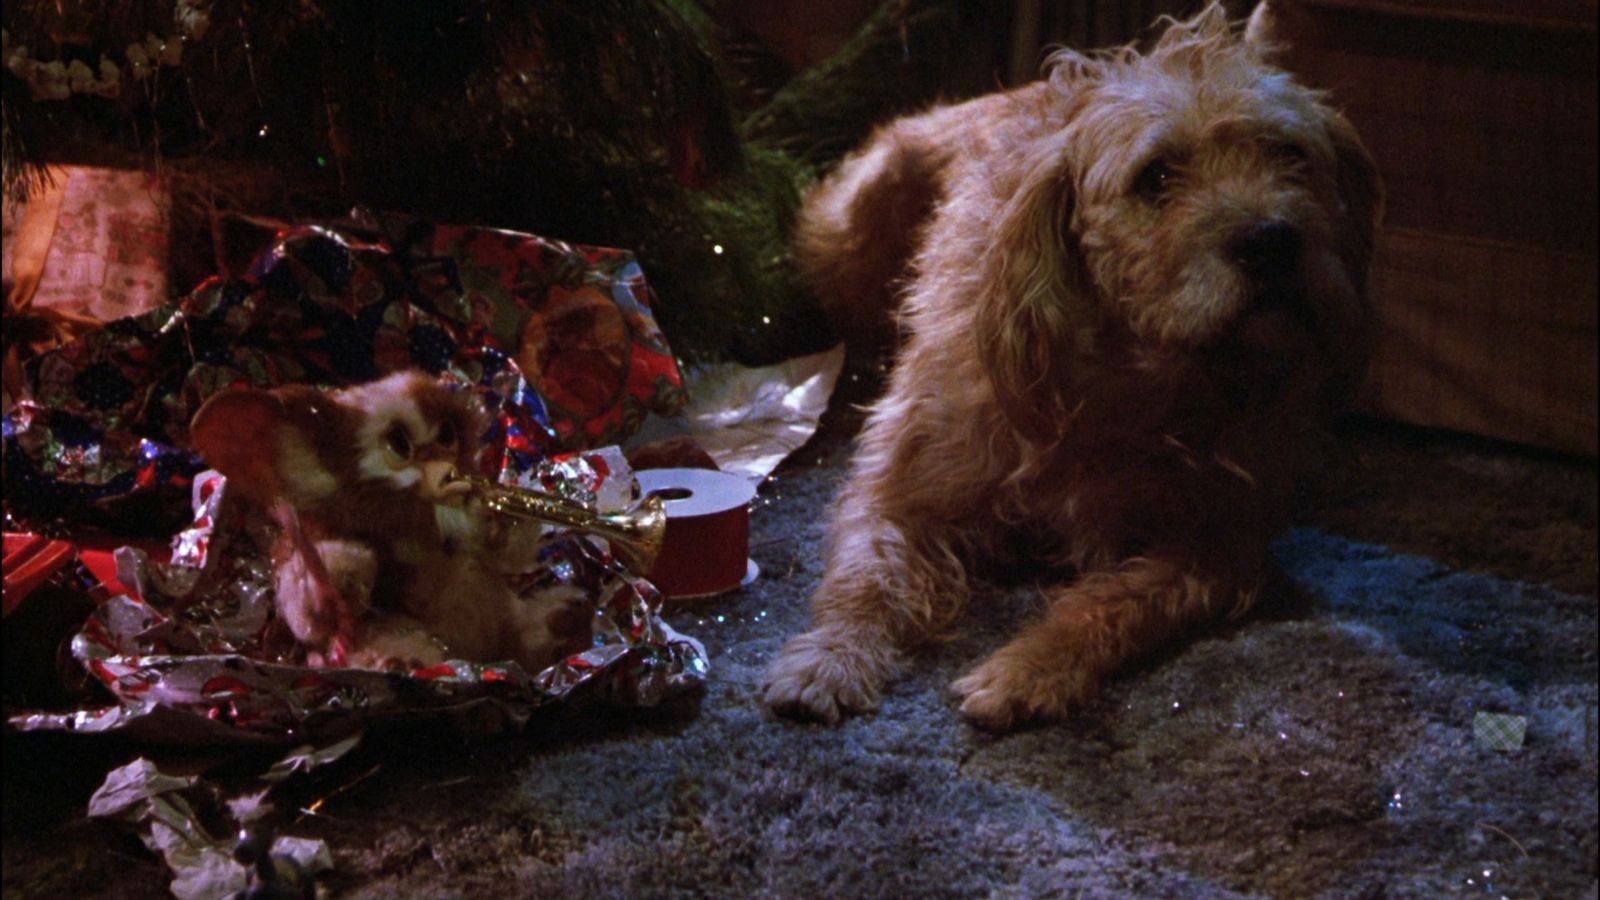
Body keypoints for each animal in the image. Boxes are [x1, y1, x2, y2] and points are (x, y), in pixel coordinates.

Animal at [761, 1, 1376, 730]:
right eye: (1157, 176)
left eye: (1291, 154)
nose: (1273, 241)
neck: (1123, 370)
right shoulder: (901, 488)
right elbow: (868, 573)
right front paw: (832, 656)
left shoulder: (1218, 545)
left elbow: (1114, 601)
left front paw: (1033, 665)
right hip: (851, 222)